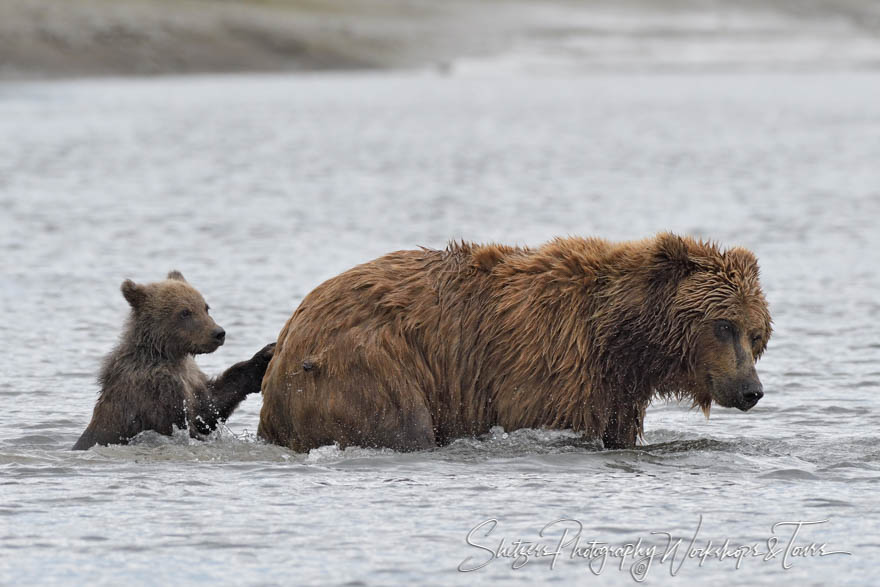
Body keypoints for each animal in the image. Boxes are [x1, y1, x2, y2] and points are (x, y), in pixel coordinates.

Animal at [256, 233, 768, 450]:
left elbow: (616, 433)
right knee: (400, 424)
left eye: (756, 332)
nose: (751, 390)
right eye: (724, 324)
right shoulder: (552, 365)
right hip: (366, 365)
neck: (621, 342)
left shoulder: (617, 391)